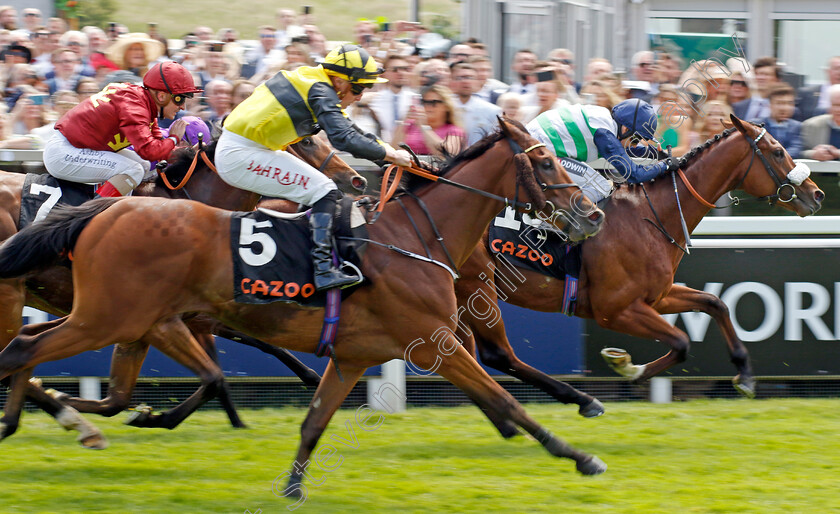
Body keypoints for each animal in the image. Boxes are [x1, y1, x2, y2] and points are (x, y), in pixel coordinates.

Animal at [0, 136, 358, 444]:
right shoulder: (177, 318)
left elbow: (248, 355)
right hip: (13, 300)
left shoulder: (194, 316)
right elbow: (222, 371)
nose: (355, 179)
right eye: (308, 140)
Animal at [452, 116, 820, 424]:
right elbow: (681, 341)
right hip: (477, 288)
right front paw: (628, 367)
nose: (816, 194)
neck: (652, 216)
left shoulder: (657, 296)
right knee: (494, 354)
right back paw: (577, 400)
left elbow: (716, 304)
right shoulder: (615, 310)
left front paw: (744, 376)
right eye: (777, 152)